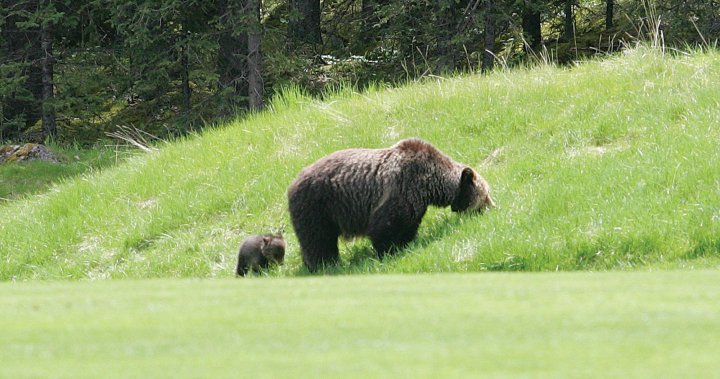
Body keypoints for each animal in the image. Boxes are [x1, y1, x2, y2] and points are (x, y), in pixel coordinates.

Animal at [286, 139, 496, 274]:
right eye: (486, 194)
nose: (493, 207)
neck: (432, 184)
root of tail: (292, 183)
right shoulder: (403, 187)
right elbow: (386, 226)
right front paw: (389, 251)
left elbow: (410, 224)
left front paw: (407, 243)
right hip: (318, 206)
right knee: (318, 239)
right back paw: (324, 265)